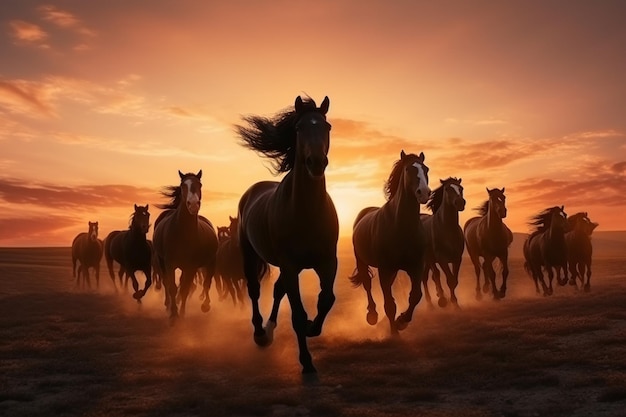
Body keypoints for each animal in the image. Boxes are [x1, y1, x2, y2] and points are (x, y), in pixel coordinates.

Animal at [152, 170, 218, 322]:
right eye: (183, 185)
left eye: (200, 184)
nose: (193, 204)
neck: (182, 232)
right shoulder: (169, 263)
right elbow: (172, 287)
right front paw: (173, 314)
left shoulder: (191, 266)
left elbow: (185, 289)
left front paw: (181, 314)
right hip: (162, 262)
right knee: (166, 283)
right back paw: (168, 305)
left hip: (206, 264)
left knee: (205, 282)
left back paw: (205, 305)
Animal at [236, 95, 338, 374]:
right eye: (299, 128)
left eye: (327, 127)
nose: (316, 163)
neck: (306, 211)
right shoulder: (290, 266)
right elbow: (297, 314)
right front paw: (307, 362)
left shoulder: (327, 262)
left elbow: (327, 299)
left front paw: (314, 327)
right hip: (250, 254)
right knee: (254, 289)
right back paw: (261, 334)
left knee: (278, 290)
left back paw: (270, 329)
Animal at [348, 151, 432, 336]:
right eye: (408, 169)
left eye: (426, 169)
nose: (424, 192)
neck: (400, 226)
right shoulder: (385, 270)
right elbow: (389, 305)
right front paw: (394, 332)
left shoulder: (416, 267)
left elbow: (415, 296)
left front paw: (402, 321)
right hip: (362, 262)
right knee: (367, 284)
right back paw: (372, 315)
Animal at [420, 177, 464, 308]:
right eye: (448, 189)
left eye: (461, 188)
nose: (460, 202)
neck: (447, 229)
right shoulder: (442, 259)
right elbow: (449, 279)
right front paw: (449, 302)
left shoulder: (457, 258)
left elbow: (454, 281)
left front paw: (453, 302)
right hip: (428, 259)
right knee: (431, 276)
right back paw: (433, 302)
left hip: (428, 261)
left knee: (429, 276)